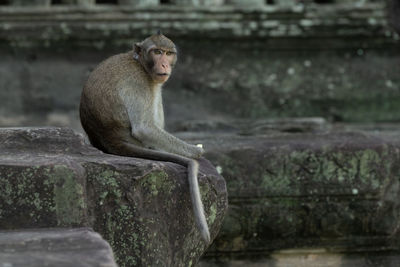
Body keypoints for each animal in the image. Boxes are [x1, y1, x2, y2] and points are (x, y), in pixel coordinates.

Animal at [77, 32, 209, 244]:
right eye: (157, 52)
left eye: (168, 53)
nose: (164, 64)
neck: (140, 63)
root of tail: (109, 137)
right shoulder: (139, 82)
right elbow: (144, 129)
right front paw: (197, 151)